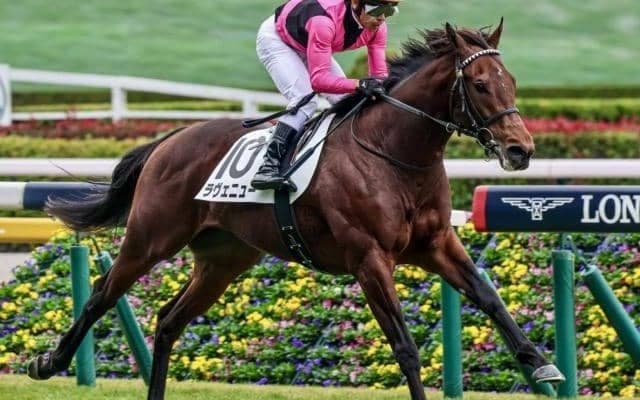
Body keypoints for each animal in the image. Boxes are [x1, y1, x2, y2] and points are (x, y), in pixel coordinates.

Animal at [27, 21, 565, 400]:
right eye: (479, 84)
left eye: (511, 81)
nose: (520, 151)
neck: (395, 153)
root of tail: (169, 140)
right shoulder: (369, 259)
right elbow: (405, 348)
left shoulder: (437, 244)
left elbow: (490, 298)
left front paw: (541, 363)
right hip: (151, 238)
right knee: (101, 295)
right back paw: (48, 363)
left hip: (224, 259)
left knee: (168, 321)